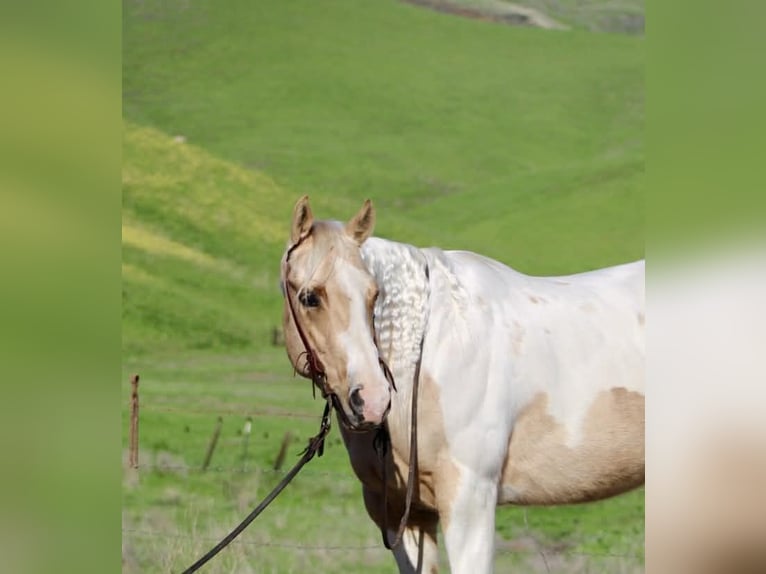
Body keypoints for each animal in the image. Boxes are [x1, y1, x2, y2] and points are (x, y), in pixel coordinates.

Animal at [280, 196, 645, 573]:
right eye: (310, 297)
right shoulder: (403, 515)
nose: (372, 399)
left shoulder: (469, 503)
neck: (430, 349)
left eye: (374, 294)